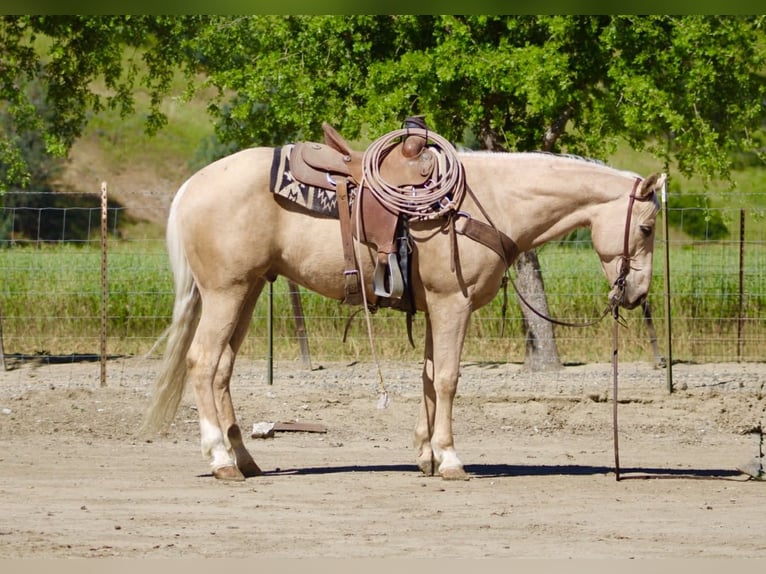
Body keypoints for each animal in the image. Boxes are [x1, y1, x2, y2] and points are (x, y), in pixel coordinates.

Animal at [142, 135, 666, 482]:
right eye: (646, 228)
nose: (637, 294)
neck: (491, 200)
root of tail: (191, 186)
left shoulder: (437, 306)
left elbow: (430, 378)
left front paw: (426, 455)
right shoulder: (454, 304)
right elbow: (449, 378)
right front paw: (450, 460)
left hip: (247, 292)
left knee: (222, 369)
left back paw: (245, 460)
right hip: (226, 292)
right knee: (202, 362)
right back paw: (220, 460)